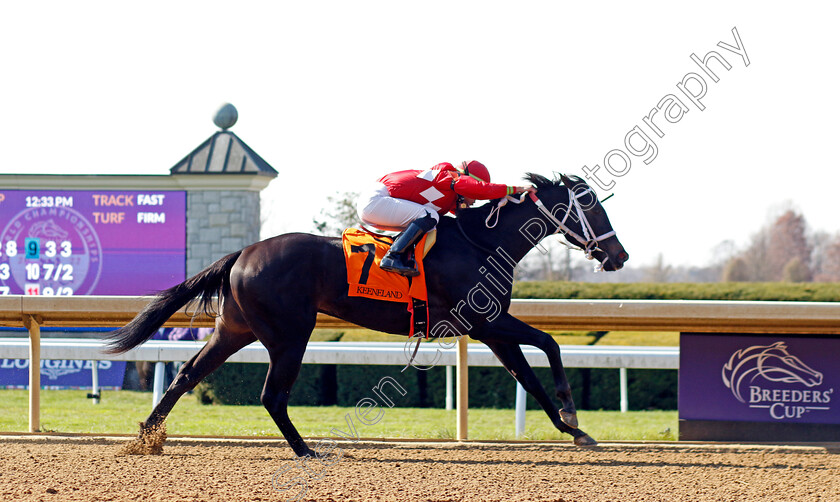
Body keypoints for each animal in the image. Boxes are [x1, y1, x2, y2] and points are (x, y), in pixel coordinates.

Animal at [105, 172, 628, 454]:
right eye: (592, 207)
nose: (618, 256)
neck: (481, 242)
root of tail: (243, 253)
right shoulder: (486, 321)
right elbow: (550, 344)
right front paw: (572, 412)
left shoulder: (490, 330)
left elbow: (530, 376)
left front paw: (573, 429)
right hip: (290, 333)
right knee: (272, 394)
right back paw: (305, 451)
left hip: (234, 329)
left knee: (187, 374)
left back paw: (145, 437)